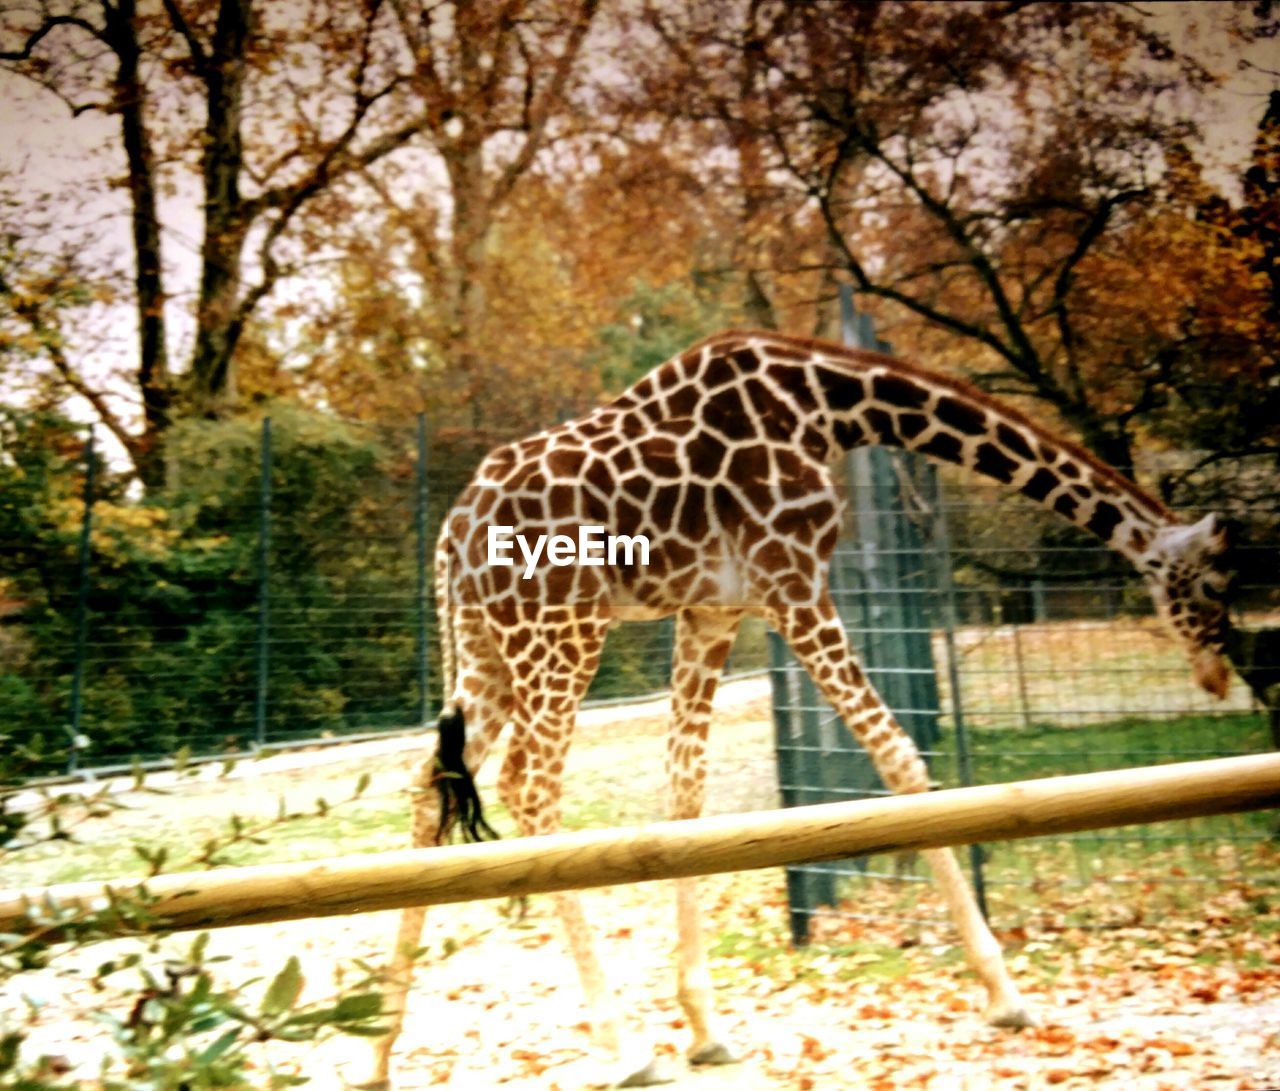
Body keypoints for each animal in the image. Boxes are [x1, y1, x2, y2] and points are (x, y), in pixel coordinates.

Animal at [358, 327, 1228, 1085]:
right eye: (1216, 586)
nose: (1219, 674)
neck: (832, 407)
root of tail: (450, 535)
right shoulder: (793, 579)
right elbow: (897, 756)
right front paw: (1003, 991)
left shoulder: (715, 609)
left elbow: (685, 792)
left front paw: (705, 1026)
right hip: (561, 628)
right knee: (529, 783)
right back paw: (622, 1042)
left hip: (487, 643)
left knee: (431, 783)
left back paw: (377, 1050)